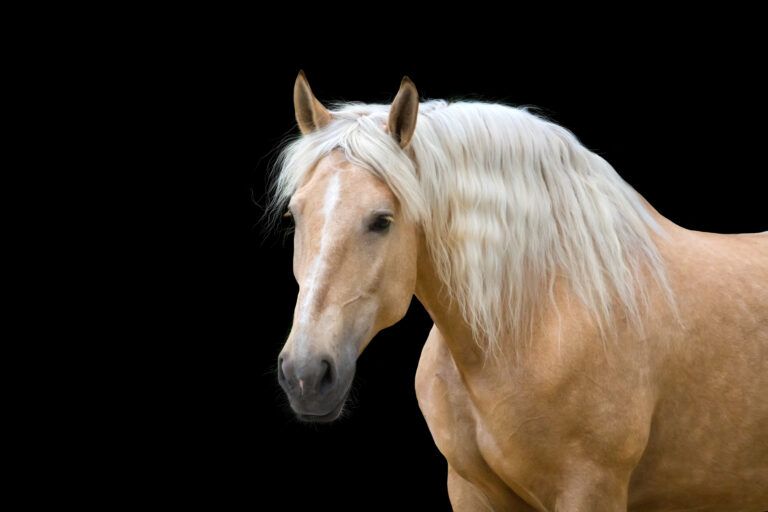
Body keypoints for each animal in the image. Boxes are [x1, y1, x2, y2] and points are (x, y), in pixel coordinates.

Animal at [271, 71, 768, 511]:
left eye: (382, 220)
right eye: (295, 215)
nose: (306, 375)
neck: (541, 317)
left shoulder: (591, 489)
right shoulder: (470, 491)